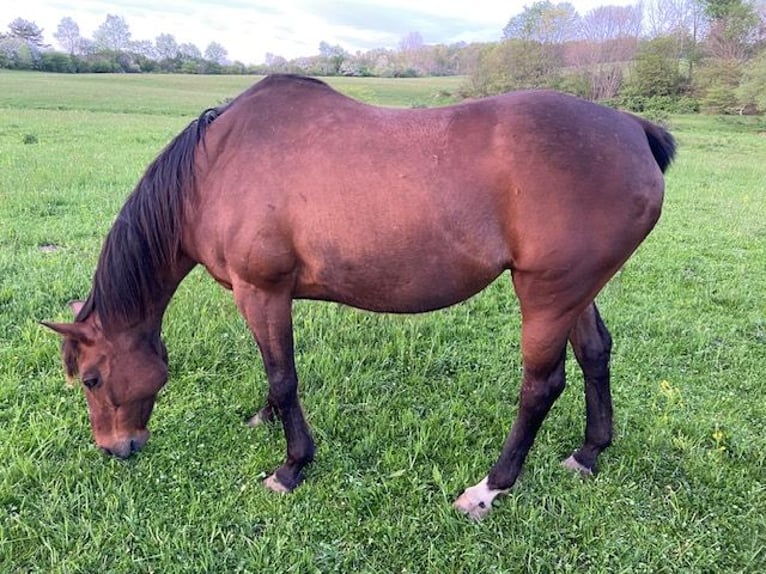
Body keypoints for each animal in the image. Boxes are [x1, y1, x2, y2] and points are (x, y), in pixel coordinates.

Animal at [45, 74, 676, 520]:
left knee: (541, 386)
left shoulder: (262, 291)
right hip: (576, 290)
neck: (215, 168)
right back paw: (589, 453)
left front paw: (292, 466)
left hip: (546, 294)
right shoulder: (263, 297)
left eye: (93, 379)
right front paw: (264, 419)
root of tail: (632, 130)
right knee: (595, 353)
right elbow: (273, 372)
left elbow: (283, 374)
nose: (115, 449)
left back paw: (488, 490)